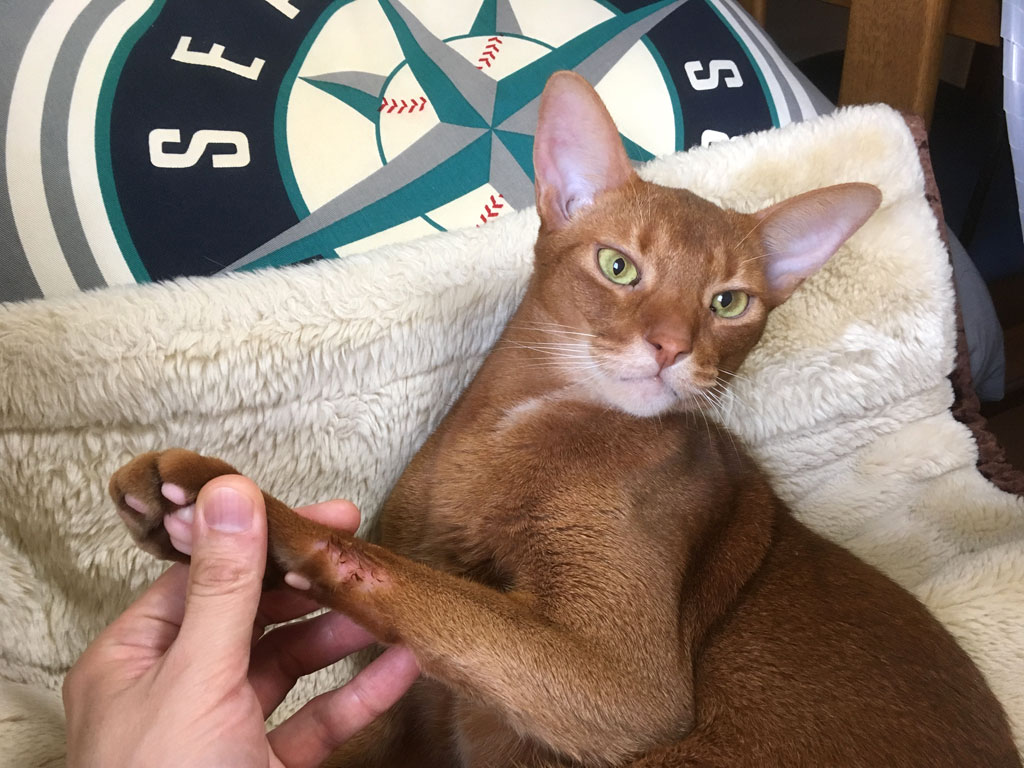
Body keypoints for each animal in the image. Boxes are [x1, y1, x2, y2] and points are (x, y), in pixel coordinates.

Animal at [109, 71, 1020, 767]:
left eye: (729, 303)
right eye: (619, 266)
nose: (670, 347)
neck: (514, 427)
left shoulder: (624, 686)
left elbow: (409, 579)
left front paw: (253, 516)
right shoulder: (411, 705)